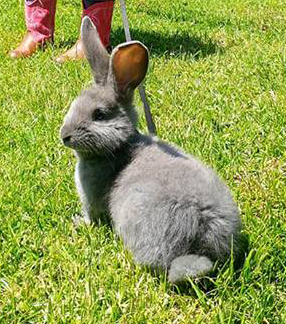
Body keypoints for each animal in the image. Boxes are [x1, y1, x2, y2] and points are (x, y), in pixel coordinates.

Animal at [59, 16, 244, 282]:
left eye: (99, 114)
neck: (120, 147)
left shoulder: (91, 201)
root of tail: (201, 227)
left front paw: (78, 222)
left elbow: (91, 217)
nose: (64, 136)